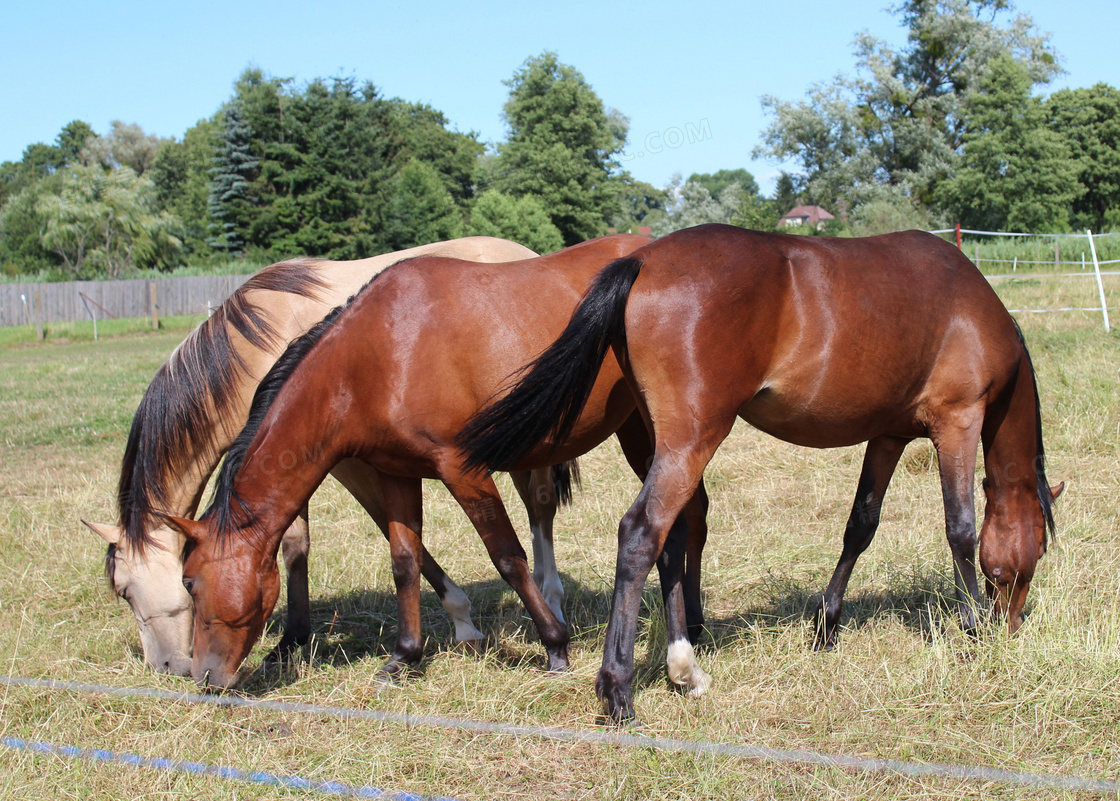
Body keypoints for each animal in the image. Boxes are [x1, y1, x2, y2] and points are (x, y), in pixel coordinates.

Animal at [81, 238, 586, 676]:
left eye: (125, 591)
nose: (167, 667)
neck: (253, 348)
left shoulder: (346, 462)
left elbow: (358, 532)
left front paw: (461, 619)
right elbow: (313, 542)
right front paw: (293, 642)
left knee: (540, 508)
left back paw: (553, 600)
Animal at [162, 233, 712, 694]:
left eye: (188, 581)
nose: (204, 677)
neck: (376, 356)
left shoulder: (462, 469)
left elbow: (507, 556)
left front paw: (555, 645)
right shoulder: (396, 473)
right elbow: (405, 561)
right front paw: (405, 655)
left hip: (652, 435)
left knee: (679, 520)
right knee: (691, 516)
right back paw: (694, 628)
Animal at [459, 222, 1061, 725]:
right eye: (1034, 553)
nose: (1012, 625)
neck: (970, 308)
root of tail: (643, 263)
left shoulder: (888, 436)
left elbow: (860, 526)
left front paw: (827, 625)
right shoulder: (957, 422)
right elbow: (960, 529)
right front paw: (973, 627)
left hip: (663, 444)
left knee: (671, 540)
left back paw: (684, 668)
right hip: (691, 441)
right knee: (640, 534)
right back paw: (619, 690)